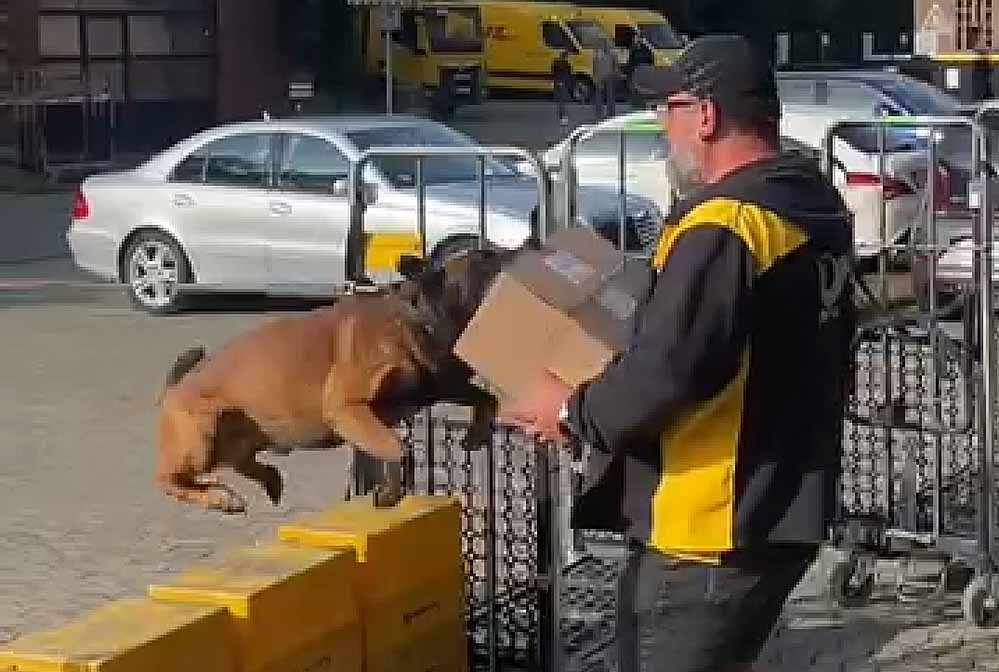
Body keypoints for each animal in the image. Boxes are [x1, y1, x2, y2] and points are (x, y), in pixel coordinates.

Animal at [157, 248, 520, 516]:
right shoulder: (348, 408)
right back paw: (221, 497)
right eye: (484, 260)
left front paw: (476, 435)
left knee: (238, 461)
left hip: (239, 435)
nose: (517, 250)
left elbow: (486, 400)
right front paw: (390, 494)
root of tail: (175, 387)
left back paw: (267, 481)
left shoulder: (440, 385)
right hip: (200, 435)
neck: (417, 318)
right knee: (169, 479)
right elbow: (399, 449)